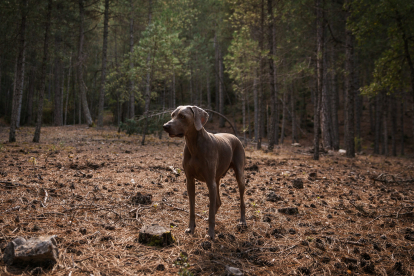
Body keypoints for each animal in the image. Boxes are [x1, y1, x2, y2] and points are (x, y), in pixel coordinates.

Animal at [162, 105, 246, 239]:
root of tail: (234, 136)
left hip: (239, 174)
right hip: (216, 179)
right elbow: (192, 208)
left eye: (182, 116)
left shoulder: (209, 182)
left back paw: (242, 222)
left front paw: (210, 234)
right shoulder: (190, 181)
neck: (194, 145)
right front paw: (191, 228)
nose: (165, 126)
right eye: (172, 115)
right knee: (218, 201)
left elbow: (211, 211)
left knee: (242, 200)